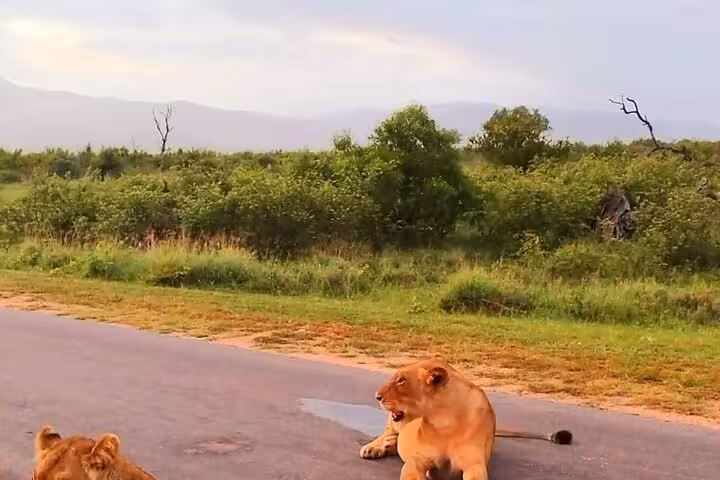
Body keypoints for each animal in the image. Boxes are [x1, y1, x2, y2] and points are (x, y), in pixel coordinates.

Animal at [360, 357, 572, 480]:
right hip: (393, 424)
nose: (377, 396)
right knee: (386, 432)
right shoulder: (417, 460)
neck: (444, 422)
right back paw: (373, 448)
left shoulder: (474, 465)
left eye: (401, 380)